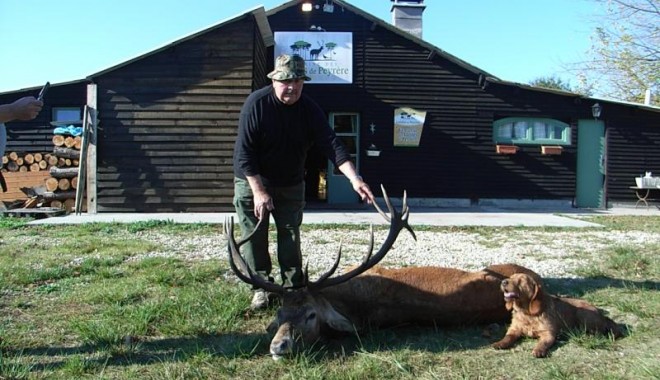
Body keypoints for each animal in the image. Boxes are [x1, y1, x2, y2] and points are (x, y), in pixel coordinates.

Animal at [490, 274, 624, 356]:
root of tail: (602, 315)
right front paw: (500, 343)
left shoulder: (549, 334)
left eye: (521, 280)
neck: (528, 314)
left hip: (583, 314)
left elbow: (542, 343)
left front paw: (538, 350)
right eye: (510, 277)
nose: (503, 282)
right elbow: (508, 337)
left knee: (598, 331)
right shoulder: (514, 330)